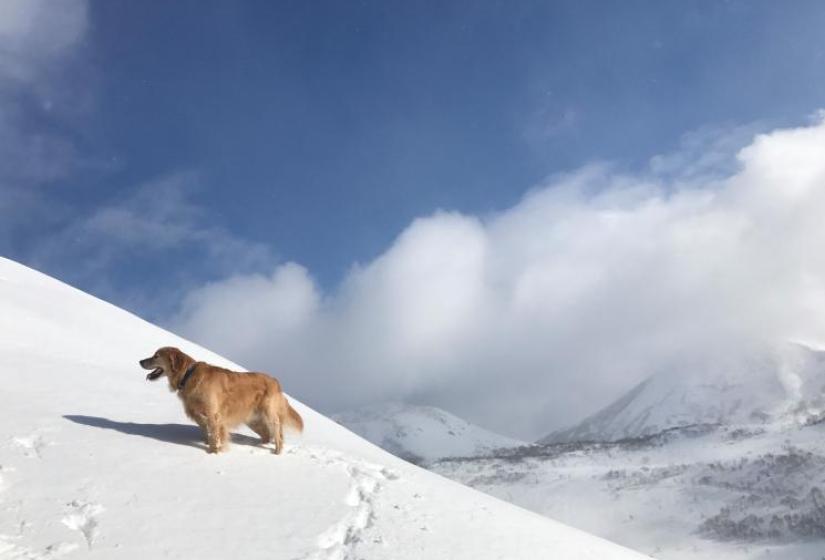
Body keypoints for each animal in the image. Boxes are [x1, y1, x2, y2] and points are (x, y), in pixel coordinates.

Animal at [140, 346, 304, 456]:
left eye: (156, 356)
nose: (140, 361)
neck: (188, 375)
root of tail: (276, 381)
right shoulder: (199, 413)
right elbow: (207, 429)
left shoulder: (214, 414)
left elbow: (214, 434)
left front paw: (213, 452)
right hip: (253, 419)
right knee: (267, 435)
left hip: (268, 414)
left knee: (277, 434)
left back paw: (277, 452)